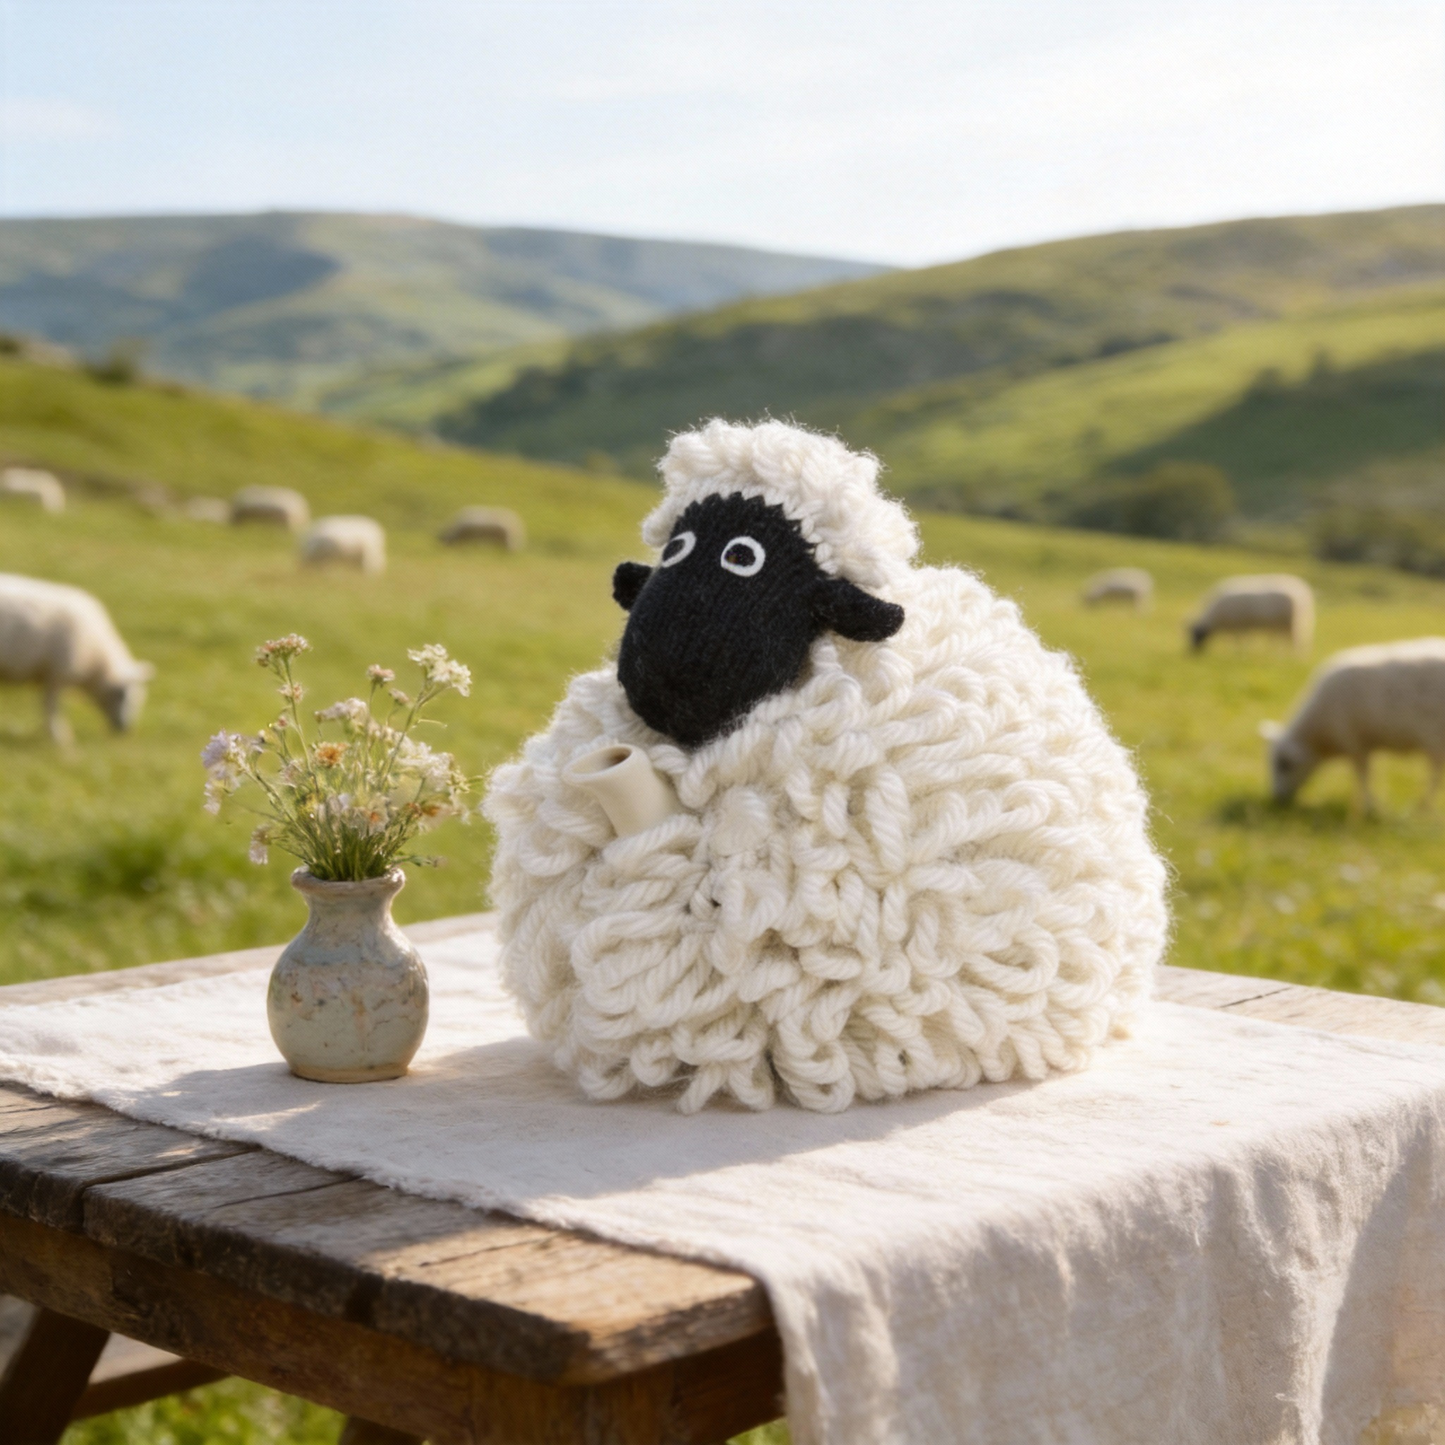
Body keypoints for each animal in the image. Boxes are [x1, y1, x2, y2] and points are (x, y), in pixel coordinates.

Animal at [1262, 637, 1445, 812]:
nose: (1277, 799)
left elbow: (1363, 775)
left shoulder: (1354, 742)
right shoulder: (1364, 743)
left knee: (1435, 776)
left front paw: (1369, 805)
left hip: (1434, 738)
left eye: (1285, 764)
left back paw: (1423, 806)